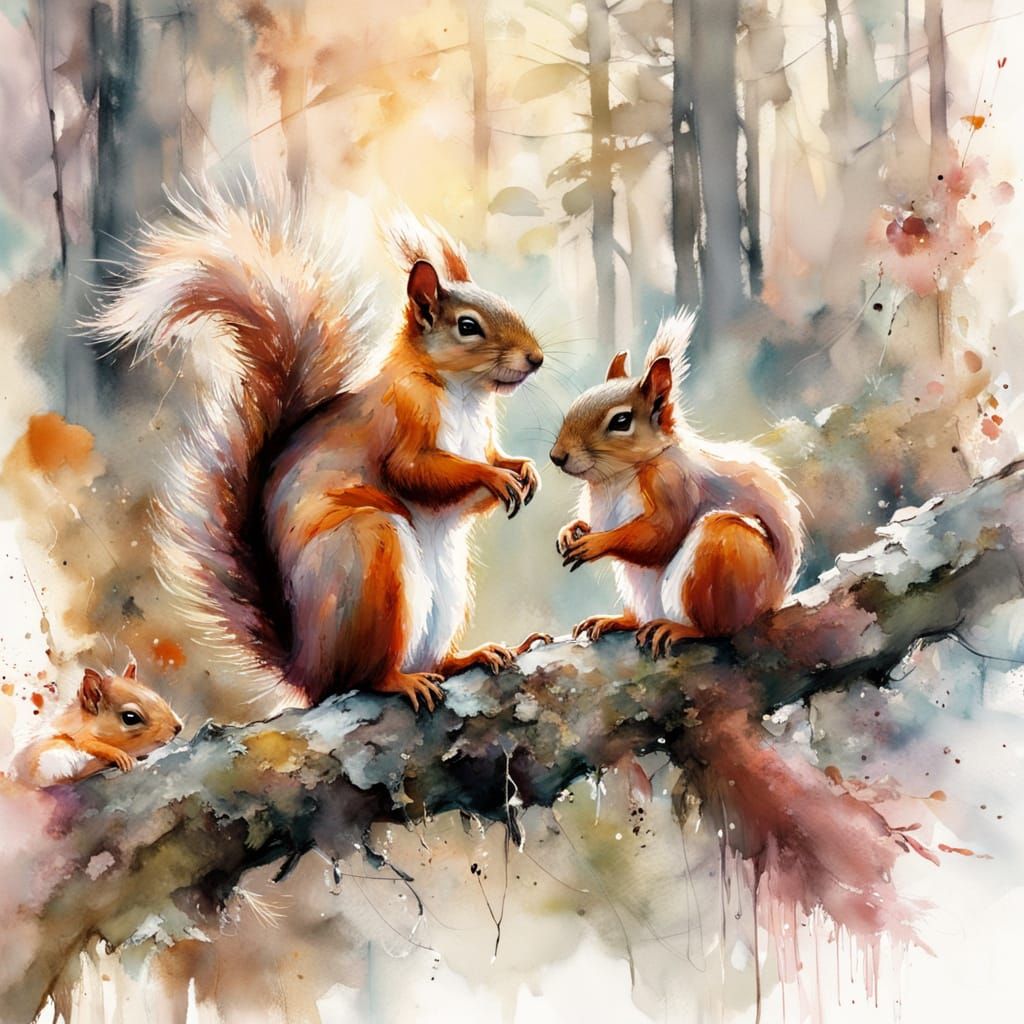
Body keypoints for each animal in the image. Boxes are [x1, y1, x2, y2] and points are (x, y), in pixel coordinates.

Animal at [12, 662, 183, 787]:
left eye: (156, 695)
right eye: (130, 717)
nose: (178, 727)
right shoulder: (76, 739)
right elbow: (90, 744)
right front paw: (120, 755)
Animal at [93, 191, 546, 713]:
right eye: (468, 327)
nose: (536, 358)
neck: (465, 393)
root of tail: (306, 670)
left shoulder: (482, 438)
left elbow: (488, 464)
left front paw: (522, 469)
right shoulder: (401, 425)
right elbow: (417, 474)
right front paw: (495, 477)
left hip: (448, 589)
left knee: (434, 657)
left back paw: (469, 656)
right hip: (370, 555)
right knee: (365, 675)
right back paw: (399, 680)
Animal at [550, 312, 803, 656]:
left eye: (621, 421)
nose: (556, 456)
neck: (616, 477)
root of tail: (770, 604)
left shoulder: (671, 483)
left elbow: (661, 534)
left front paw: (597, 543)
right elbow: (591, 524)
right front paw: (570, 530)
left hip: (722, 555)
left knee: (714, 629)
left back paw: (680, 628)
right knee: (638, 616)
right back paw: (616, 619)